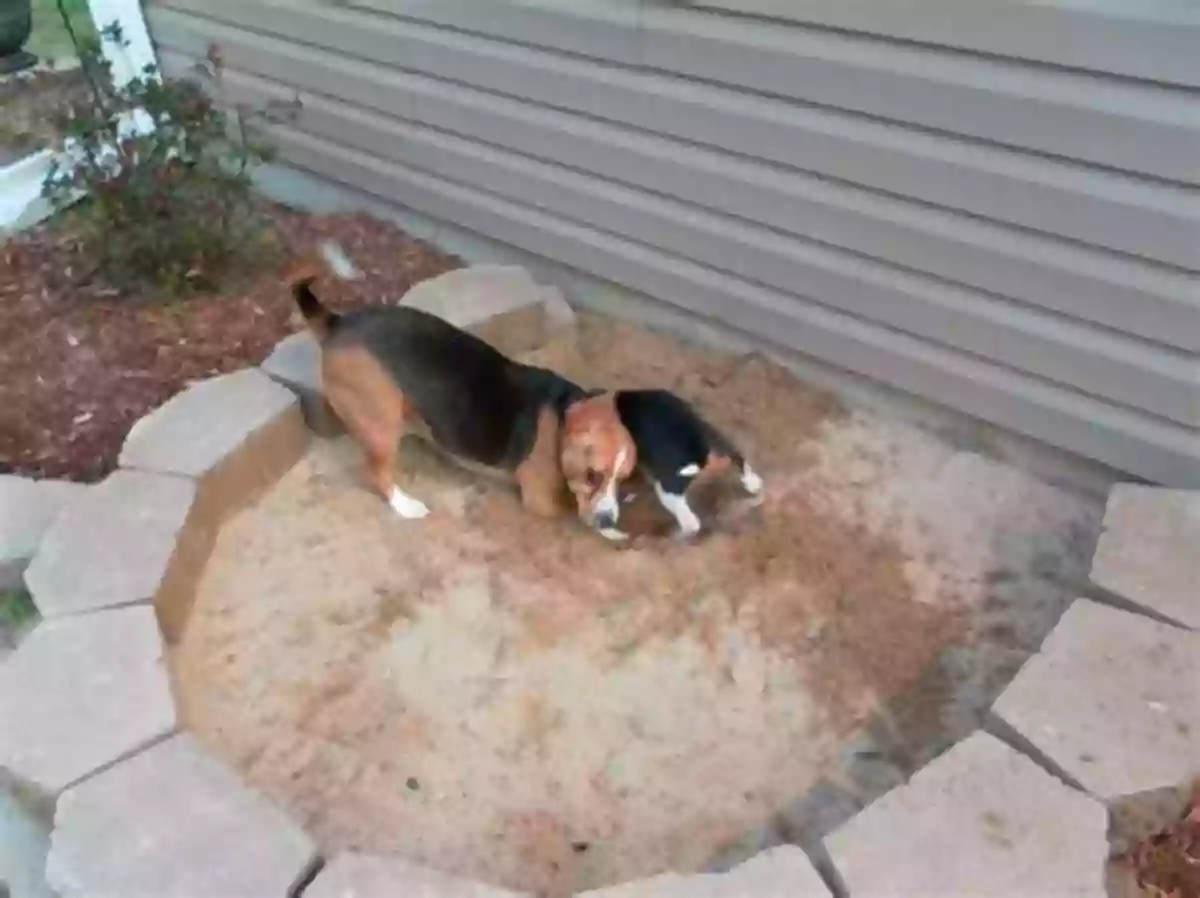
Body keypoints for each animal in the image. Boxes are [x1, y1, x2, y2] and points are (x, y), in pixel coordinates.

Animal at [280, 246, 638, 523]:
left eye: (622, 479)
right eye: (592, 475)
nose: (608, 519)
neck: (564, 412)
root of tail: (338, 322)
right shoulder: (542, 499)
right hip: (380, 423)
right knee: (377, 473)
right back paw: (407, 506)